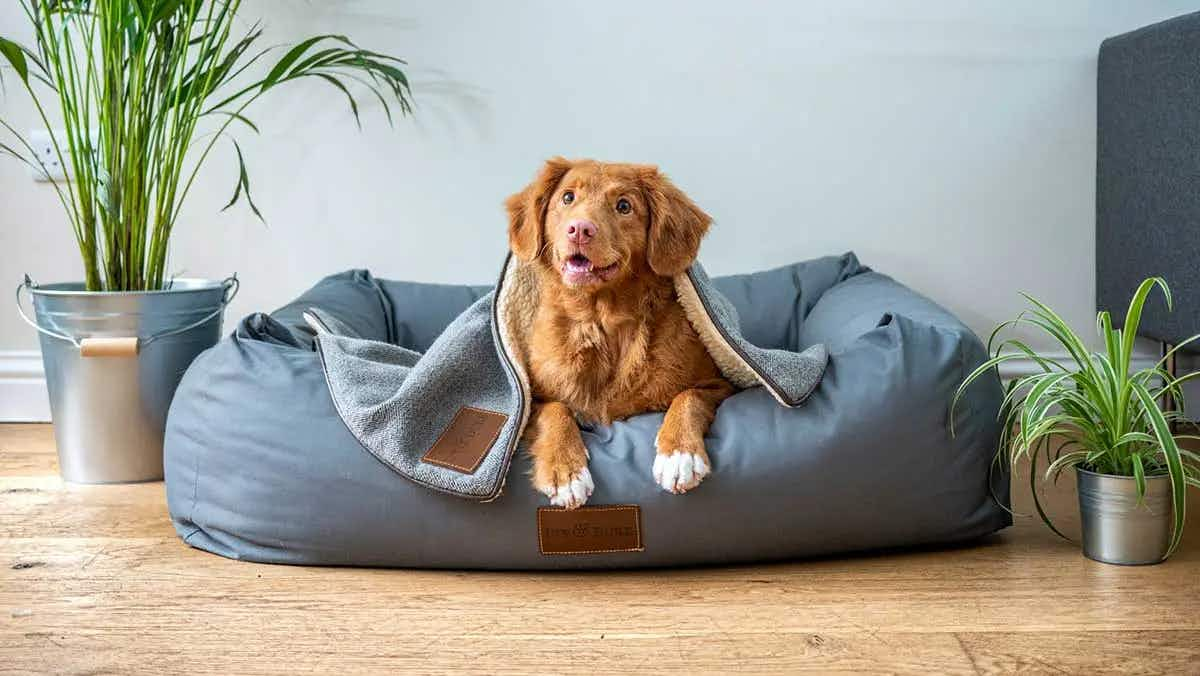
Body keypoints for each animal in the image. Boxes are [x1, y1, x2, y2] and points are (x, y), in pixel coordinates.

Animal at [504, 158, 729, 509]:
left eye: (624, 206)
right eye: (567, 198)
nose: (579, 229)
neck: (601, 321)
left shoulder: (719, 384)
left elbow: (689, 396)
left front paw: (679, 455)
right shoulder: (529, 399)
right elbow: (555, 410)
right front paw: (566, 471)